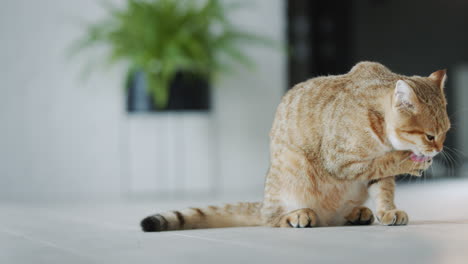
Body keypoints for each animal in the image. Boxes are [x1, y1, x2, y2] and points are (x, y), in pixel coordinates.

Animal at [142, 62, 450, 231]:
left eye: (446, 132)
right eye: (430, 136)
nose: (438, 150)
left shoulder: (374, 174)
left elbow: (383, 190)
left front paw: (387, 210)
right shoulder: (341, 161)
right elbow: (381, 162)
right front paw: (409, 162)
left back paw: (357, 213)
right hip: (294, 167)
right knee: (271, 219)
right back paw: (297, 215)